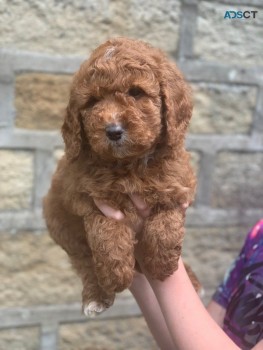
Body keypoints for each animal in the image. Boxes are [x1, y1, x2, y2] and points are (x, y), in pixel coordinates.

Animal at [43, 37, 197, 316]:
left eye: (136, 92)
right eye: (93, 101)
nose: (113, 131)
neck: (129, 165)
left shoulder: (178, 185)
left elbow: (166, 223)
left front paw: (161, 264)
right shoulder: (88, 196)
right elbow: (106, 234)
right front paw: (116, 276)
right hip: (61, 225)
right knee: (84, 262)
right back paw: (96, 295)